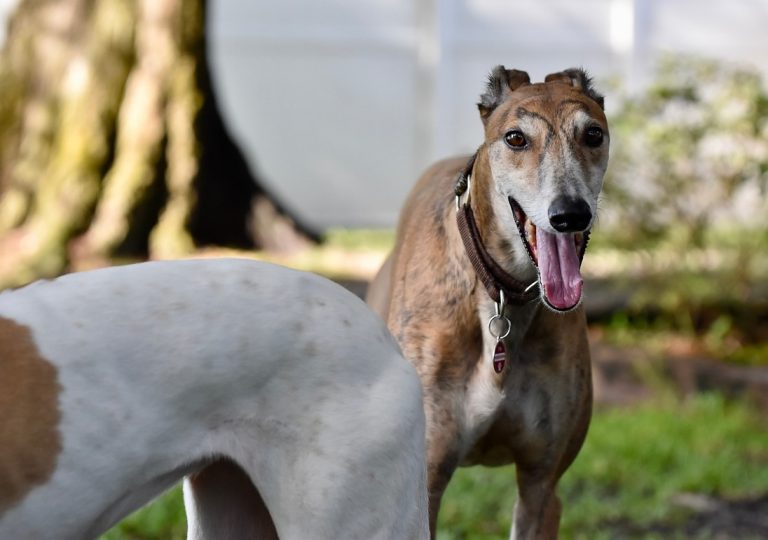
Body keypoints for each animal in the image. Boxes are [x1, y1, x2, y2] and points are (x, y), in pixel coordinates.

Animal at [368, 65, 612, 536]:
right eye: (515, 138)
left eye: (593, 134)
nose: (569, 214)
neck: (503, 294)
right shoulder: (425, 482)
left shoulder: (541, 485)